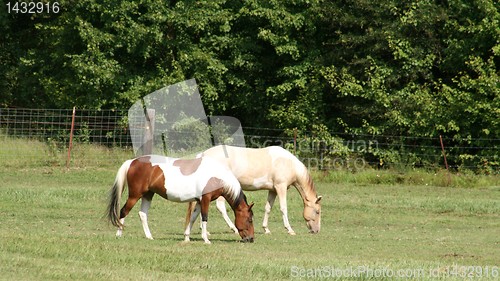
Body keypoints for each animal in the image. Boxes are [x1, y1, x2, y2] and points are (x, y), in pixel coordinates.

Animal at [106, 153, 254, 243]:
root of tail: (132, 161)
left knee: (142, 214)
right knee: (123, 211)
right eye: (249, 220)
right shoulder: (205, 199)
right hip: (135, 195)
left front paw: (187, 237)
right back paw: (119, 233)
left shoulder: (199, 202)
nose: (251, 238)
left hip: (148, 195)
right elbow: (204, 218)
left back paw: (149, 236)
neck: (216, 176)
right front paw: (206, 240)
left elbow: (193, 218)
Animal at [188, 144, 324, 234]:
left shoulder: (273, 190)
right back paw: (233, 228)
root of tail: (203, 154)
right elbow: (283, 208)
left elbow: (268, 208)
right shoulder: (281, 187)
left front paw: (266, 229)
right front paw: (290, 230)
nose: (317, 230)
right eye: (317, 212)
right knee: (220, 207)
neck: (288, 163)